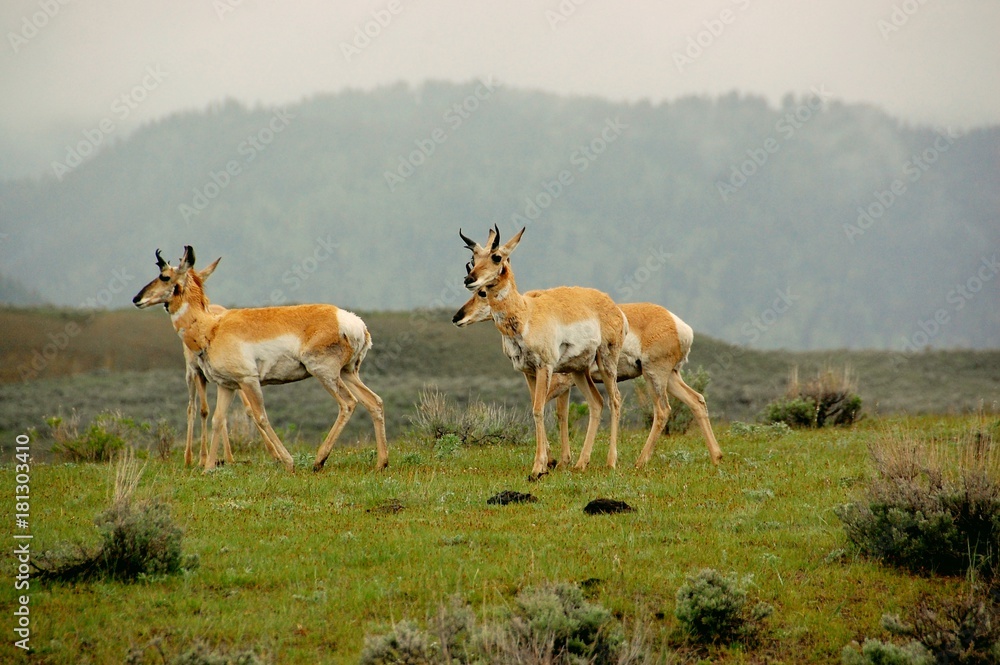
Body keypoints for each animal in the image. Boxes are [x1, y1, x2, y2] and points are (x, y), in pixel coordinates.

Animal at [136, 245, 390, 472]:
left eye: (164, 276)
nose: (136, 299)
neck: (212, 327)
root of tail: (352, 321)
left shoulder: (248, 381)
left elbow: (261, 417)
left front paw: (287, 461)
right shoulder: (227, 385)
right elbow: (219, 419)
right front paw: (208, 468)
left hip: (325, 374)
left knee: (348, 404)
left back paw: (319, 461)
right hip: (347, 373)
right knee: (374, 401)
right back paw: (381, 463)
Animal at [456, 227, 624, 478]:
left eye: (496, 257)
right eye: (474, 259)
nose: (469, 279)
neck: (526, 313)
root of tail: (611, 304)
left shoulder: (545, 367)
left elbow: (538, 409)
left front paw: (537, 468)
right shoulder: (529, 372)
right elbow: (537, 408)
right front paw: (546, 464)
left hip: (606, 363)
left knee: (615, 400)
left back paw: (611, 462)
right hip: (578, 370)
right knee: (596, 403)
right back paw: (581, 463)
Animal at [458, 288, 724, 470]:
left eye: (483, 293)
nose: (459, 316)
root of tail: (679, 324)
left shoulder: (560, 381)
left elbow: (549, 411)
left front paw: (556, 459)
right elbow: (560, 414)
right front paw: (560, 459)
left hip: (654, 376)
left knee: (663, 410)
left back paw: (639, 461)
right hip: (670, 377)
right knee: (696, 400)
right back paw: (716, 456)